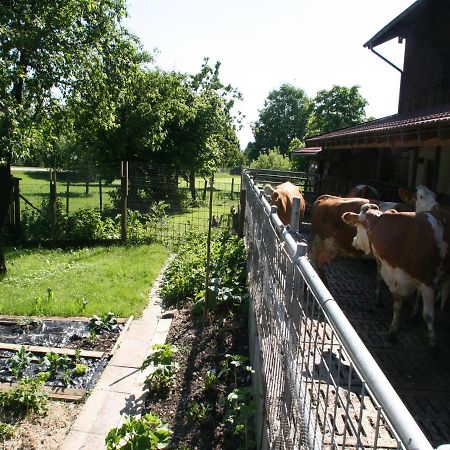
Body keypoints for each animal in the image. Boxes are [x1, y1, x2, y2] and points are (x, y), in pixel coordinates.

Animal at [342, 202, 450, 346]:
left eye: (357, 228)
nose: (353, 240)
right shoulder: (397, 279)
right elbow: (397, 308)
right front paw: (392, 331)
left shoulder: (427, 281)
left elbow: (428, 315)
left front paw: (432, 339)